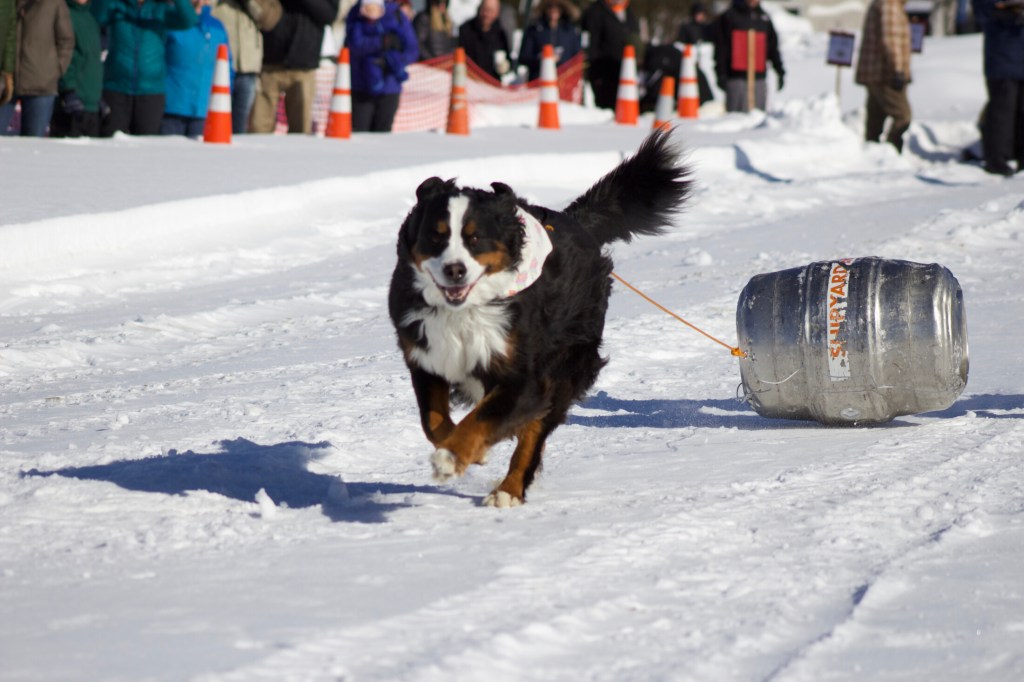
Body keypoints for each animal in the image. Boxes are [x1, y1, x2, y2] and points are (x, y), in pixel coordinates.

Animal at [387, 131, 692, 503]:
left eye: (475, 238)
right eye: (436, 236)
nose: (454, 270)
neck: (466, 311)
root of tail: (574, 223)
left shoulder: (525, 376)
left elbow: (484, 419)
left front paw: (453, 456)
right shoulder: (427, 356)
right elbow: (434, 422)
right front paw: (464, 451)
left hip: (566, 362)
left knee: (535, 430)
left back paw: (508, 491)